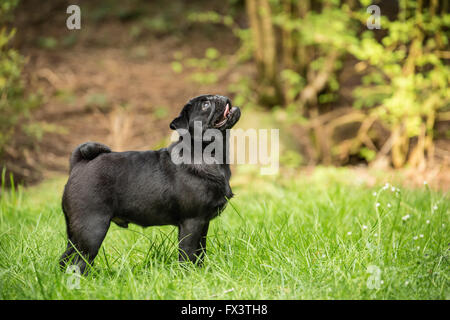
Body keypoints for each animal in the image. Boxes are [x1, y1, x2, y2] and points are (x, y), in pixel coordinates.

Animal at [62, 94, 243, 272]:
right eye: (205, 105)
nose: (222, 97)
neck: (210, 154)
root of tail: (79, 164)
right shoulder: (192, 222)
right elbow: (188, 254)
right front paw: (189, 275)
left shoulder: (203, 224)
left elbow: (200, 252)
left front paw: (201, 272)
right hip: (92, 229)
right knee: (79, 262)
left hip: (76, 233)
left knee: (66, 259)